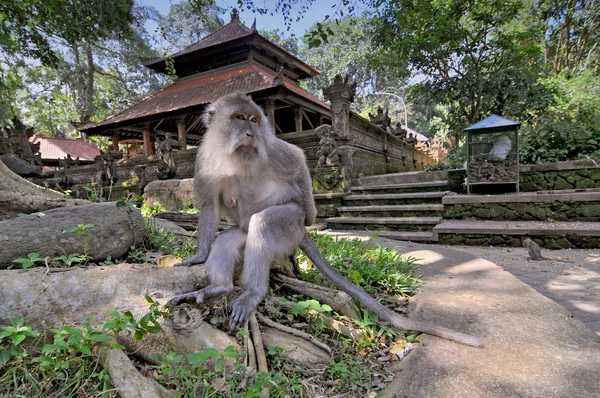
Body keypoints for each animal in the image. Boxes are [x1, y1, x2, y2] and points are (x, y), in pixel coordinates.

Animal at [168, 93, 482, 348]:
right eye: (238, 118)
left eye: (254, 120)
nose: (249, 133)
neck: (237, 157)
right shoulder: (204, 160)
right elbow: (209, 206)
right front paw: (199, 255)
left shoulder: (272, 148)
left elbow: (297, 159)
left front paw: (311, 214)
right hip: (245, 231)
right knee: (228, 238)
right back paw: (219, 288)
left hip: (290, 226)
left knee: (264, 223)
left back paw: (252, 294)